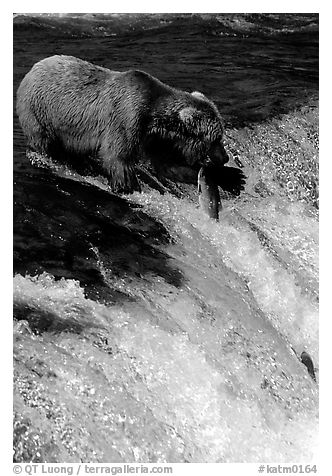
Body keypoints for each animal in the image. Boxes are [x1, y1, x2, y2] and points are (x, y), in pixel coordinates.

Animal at [16, 57, 230, 193]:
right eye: (216, 138)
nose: (225, 157)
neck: (153, 113)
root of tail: (32, 68)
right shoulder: (126, 116)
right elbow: (117, 154)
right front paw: (127, 185)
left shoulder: (154, 136)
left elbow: (166, 164)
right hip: (41, 110)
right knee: (43, 141)